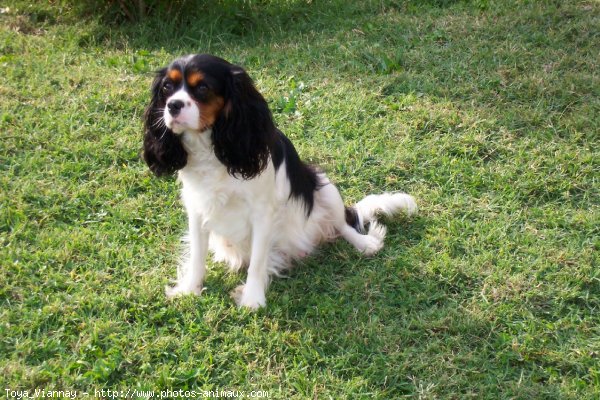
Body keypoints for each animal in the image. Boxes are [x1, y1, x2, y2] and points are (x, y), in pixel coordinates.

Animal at [143, 54, 418, 310]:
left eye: (202, 87)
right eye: (167, 88)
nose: (173, 106)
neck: (212, 147)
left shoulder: (262, 213)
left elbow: (257, 262)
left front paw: (252, 299)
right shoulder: (197, 208)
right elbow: (197, 257)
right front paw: (190, 289)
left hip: (325, 186)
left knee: (343, 224)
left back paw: (365, 243)